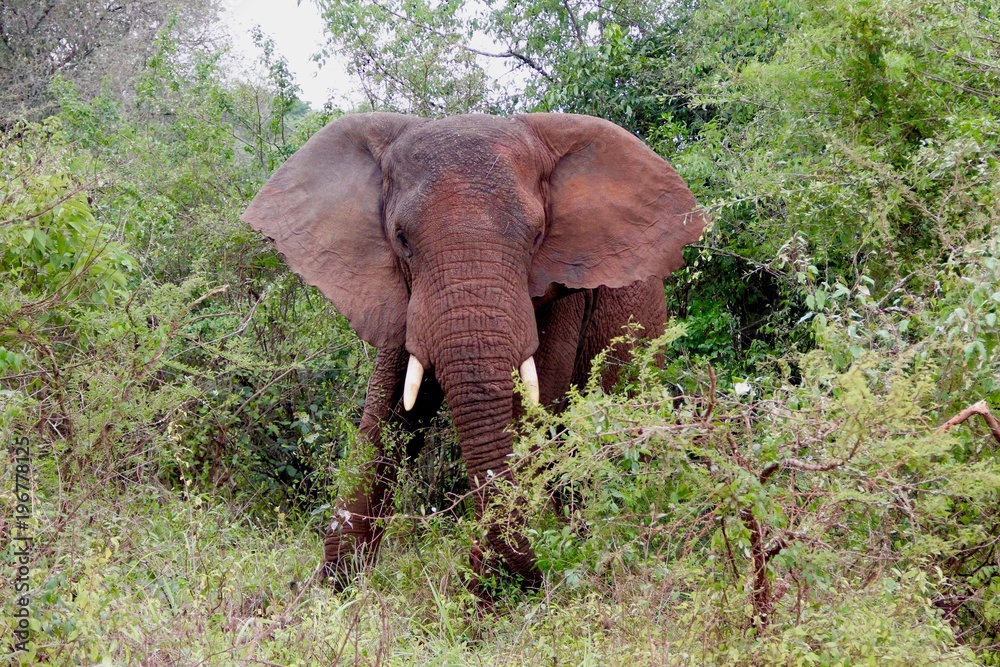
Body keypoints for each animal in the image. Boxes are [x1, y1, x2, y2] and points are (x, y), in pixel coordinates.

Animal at [241, 112, 704, 592]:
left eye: (538, 236)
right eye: (402, 239)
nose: (530, 574)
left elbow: (527, 409)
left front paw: (487, 596)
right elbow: (386, 415)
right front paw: (333, 592)